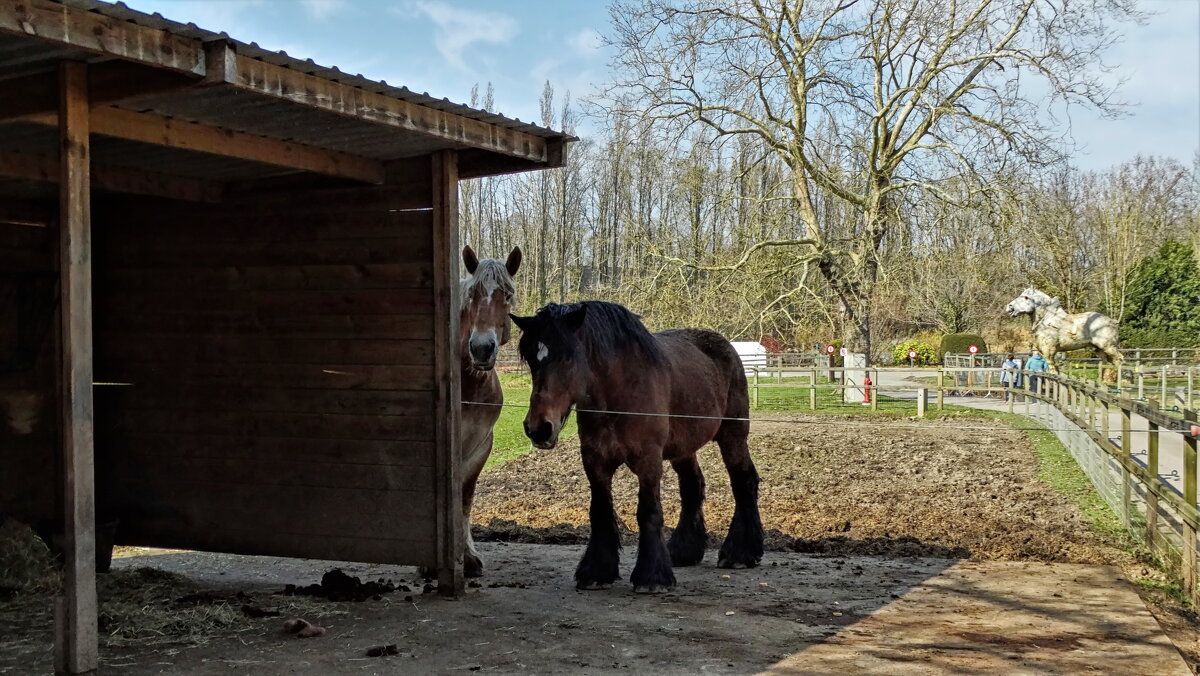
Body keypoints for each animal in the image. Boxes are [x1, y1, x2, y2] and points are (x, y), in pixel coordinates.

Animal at [511, 301, 763, 593]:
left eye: (567, 357)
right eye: (531, 359)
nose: (539, 428)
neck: (618, 395)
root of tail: (726, 347)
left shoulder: (648, 460)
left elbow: (648, 512)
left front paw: (652, 578)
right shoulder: (595, 462)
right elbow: (600, 511)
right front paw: (596, 572)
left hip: (733, 436)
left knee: (743, 482)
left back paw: (740, 553)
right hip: (684, 449)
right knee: (692, 486)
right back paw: (682, 551)